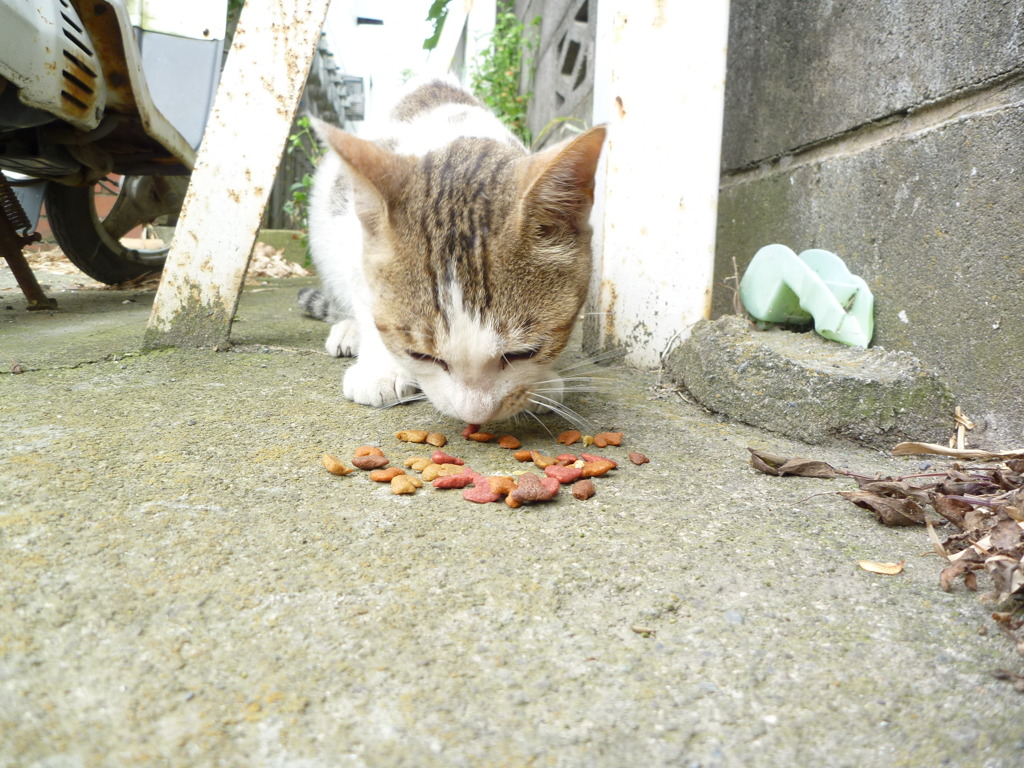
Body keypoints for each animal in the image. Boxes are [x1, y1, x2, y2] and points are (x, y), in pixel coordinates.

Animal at [296, 79, 602, 428]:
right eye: (422, 356)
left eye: (524, 353)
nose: (475, 414)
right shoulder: (353, 239)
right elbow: (366, 299)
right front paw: (380, 368)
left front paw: (542, 380)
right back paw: (348, 329)